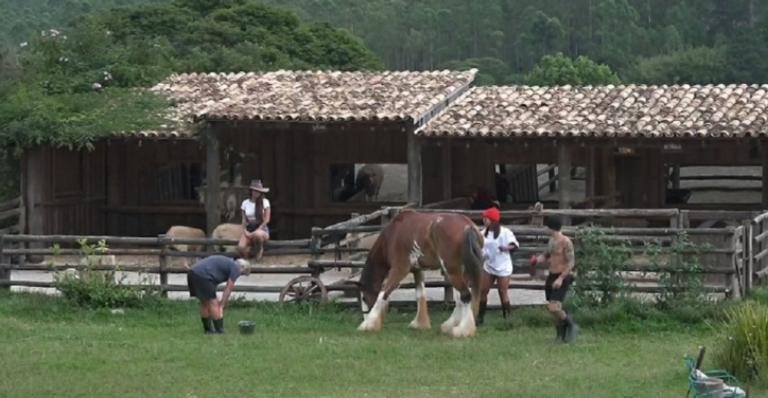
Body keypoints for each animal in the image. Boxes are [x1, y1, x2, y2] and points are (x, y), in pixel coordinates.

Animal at [356, 210, 484, 338]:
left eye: (363, 298)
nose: (364, 317)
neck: (391, 236)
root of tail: (468, 227)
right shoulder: (417, 270)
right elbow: (420, 294)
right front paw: (420, 324)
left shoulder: (399, 269)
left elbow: (383, 293)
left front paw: (367, 325)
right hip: (462, 270)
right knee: (461, 297)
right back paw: (450, 325)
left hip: (451, 270)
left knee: (465, 295)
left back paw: (463, 330)